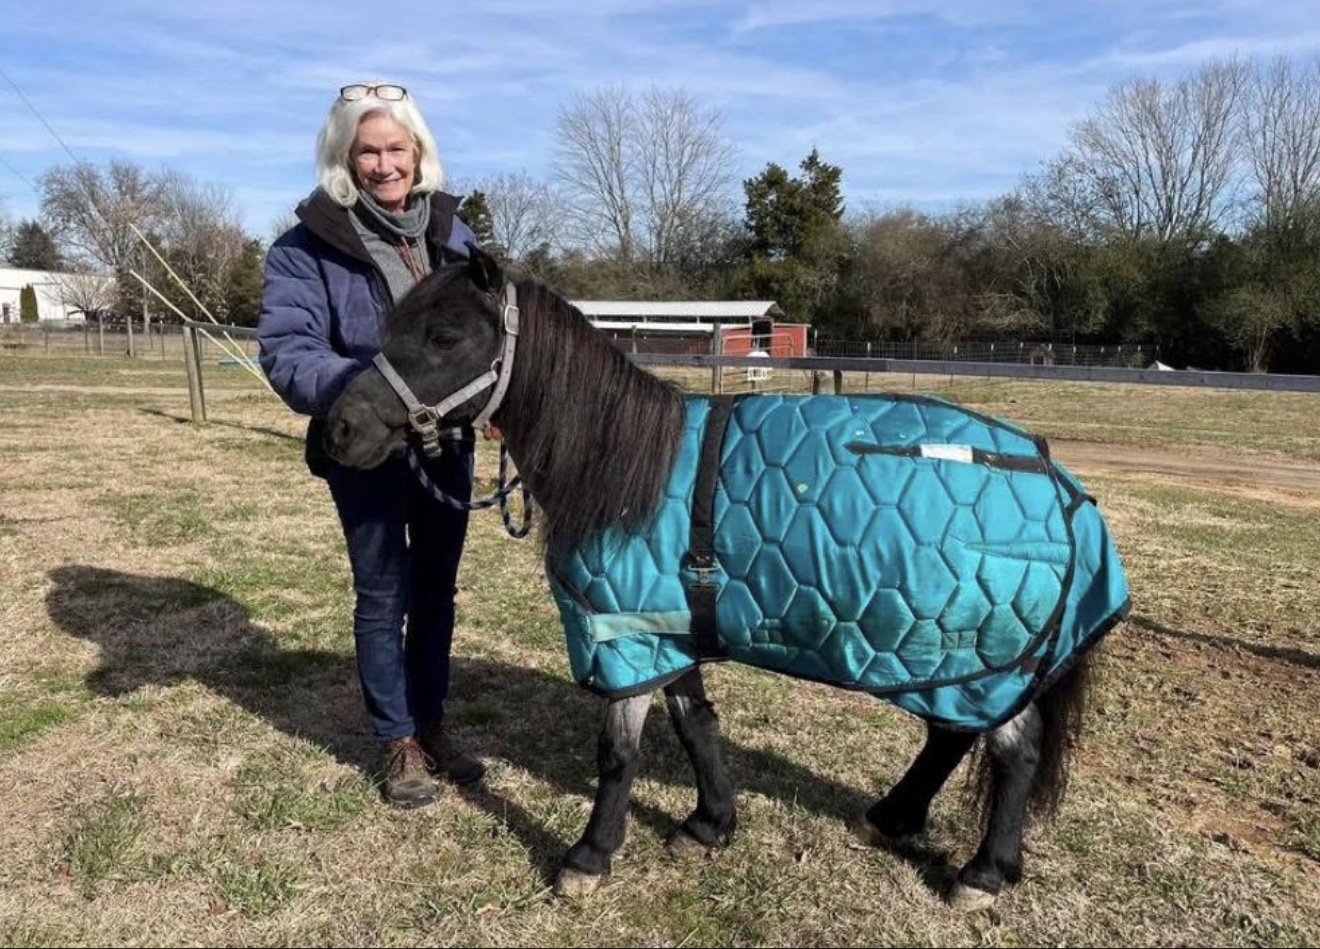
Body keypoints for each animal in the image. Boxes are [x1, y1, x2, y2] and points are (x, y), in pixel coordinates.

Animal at [323, 247, 1131, 909]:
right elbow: (696, 724)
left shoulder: (624, 634)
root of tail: (1068, 494)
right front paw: (710, 824)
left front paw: (589, 855)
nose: (340, 429)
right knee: (952, 735)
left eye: (445, 337)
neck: (626, 468)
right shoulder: (663, 628)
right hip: (943, 653)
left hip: (971, 645)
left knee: (1013, 749)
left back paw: (982, 873)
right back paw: (893, 818)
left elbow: (618, 753)